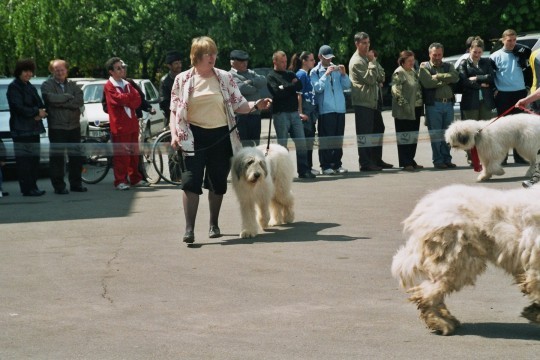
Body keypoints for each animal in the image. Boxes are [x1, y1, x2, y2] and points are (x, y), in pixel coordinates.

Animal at [390, 184, 540, 336]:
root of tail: (425, 205)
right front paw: (535, 313)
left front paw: (533, 311)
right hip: (458, 259)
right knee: (427, 293)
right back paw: (440, 323)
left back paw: (446, 319)